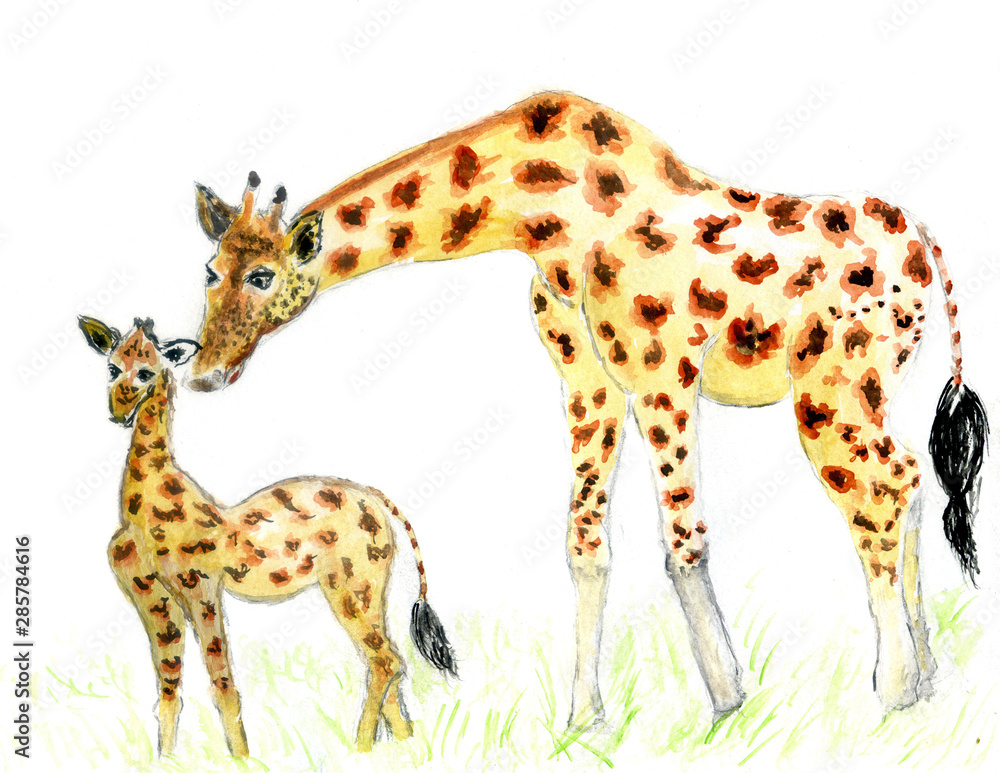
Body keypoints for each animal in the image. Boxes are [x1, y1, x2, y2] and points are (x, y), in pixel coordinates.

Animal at [78, 316, 455, 756]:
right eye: (111, 367)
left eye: (146, 371)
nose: (118, 410)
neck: (143, 507)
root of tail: (377, 499)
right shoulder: (149, 594)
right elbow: (169, 689)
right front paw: (167, 760)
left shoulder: (201, 587)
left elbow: (223, 684)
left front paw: (242, 759)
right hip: (370, 587)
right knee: (391, 665)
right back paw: (402, 748)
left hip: (349, 585)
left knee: (386, 662)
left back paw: (358, 749)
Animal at [184, 92, 988, 720]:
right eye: (211, 270)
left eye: (262, 276)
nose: (204, 372)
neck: (537, 209)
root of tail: (929, 249)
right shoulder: (587, 375)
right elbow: (585, 545)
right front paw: (582, 718)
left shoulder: (662, 371)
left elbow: (684, 541)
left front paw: (728, 704)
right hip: (867, 384)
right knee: (909, 476)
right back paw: (924, 680)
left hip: (831, 383)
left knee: (879, 491)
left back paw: (891, 692)